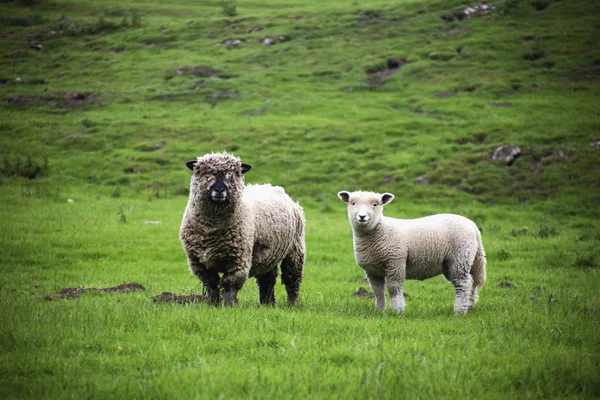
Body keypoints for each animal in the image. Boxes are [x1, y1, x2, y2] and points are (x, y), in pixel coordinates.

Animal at [178, 153, 304, 306]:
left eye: (233, 174)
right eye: (204, 172)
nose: (219, 190)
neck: (212, 229)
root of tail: (274, 187)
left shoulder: (238, 258)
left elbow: (229, 283)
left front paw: (230, 305)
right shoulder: (198, 262)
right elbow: (211, 283)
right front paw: (213, 303)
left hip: (295, 249)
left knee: (292, 278)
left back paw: (292, 304)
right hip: (268, 253)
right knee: (267, 279)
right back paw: (267, 303)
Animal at [340, 189, 486, 314]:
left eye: (375, 204)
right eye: (353, 203)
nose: (362, 216)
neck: (379, 231)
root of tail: (473, 226)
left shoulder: (396, 262)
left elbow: (394, 288)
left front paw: (398, 310)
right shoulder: (372, 270)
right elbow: (377, 291)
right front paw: (380, 310)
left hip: (460, 257)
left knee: (463, 284)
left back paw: (459, 311)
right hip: (454, 262)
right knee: (471, 282)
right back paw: (469, 305)